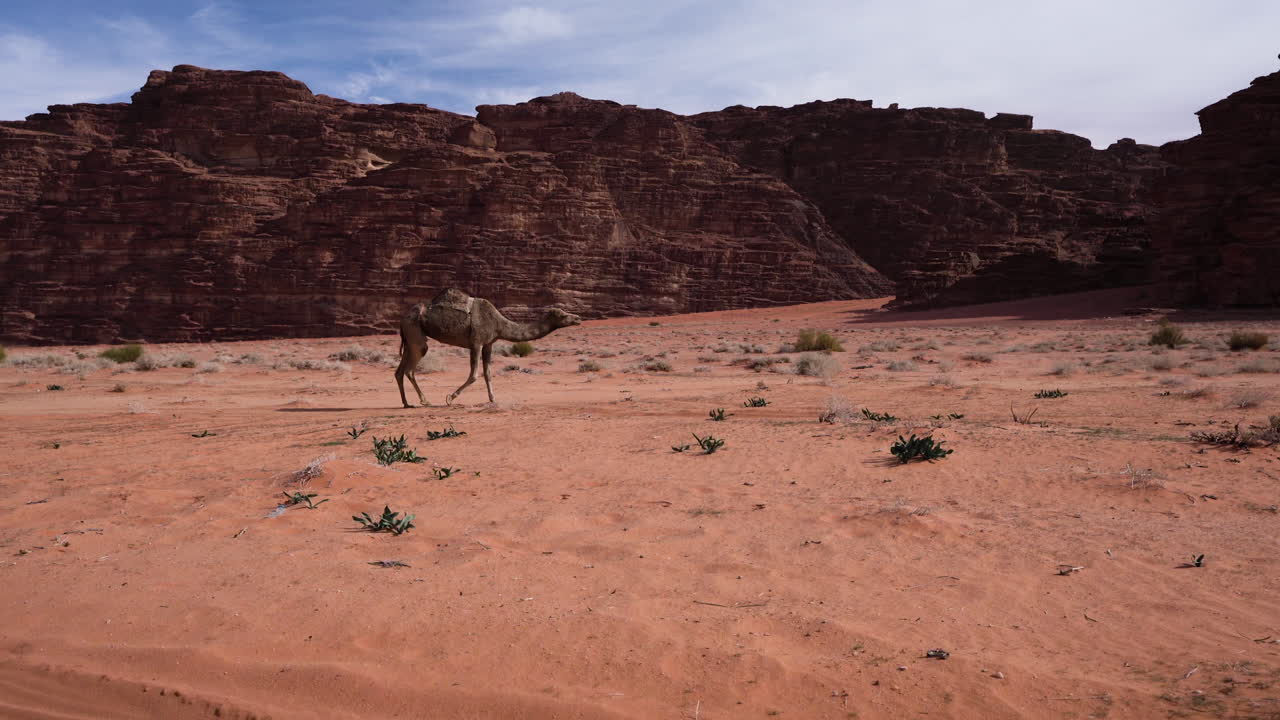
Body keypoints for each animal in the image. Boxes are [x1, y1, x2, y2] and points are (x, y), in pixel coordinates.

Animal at [395, 288, 582, 407]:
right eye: (563, 315)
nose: (578, 318)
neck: (499, 323)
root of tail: (402, 319)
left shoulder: (488, 344)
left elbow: (488, 373)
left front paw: (493, 399)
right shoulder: (476, 342)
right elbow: (474, 375)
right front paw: (450, 398)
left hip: (410, 337)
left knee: (399, 371)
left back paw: (406, 403)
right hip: (415, 331)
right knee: (411, 367)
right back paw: (424, 401)